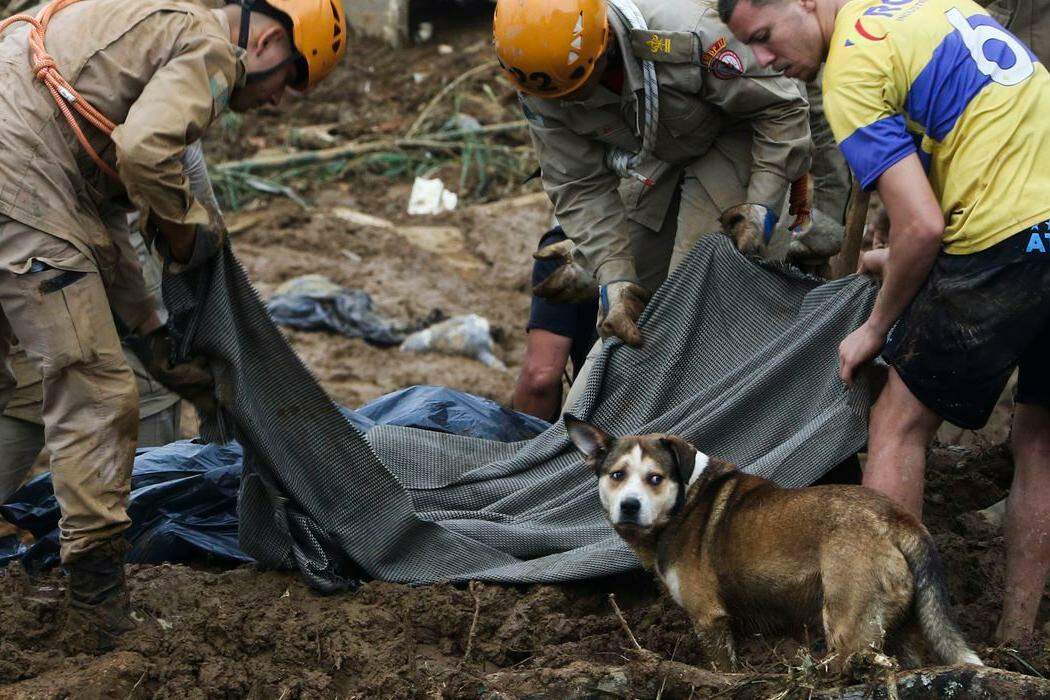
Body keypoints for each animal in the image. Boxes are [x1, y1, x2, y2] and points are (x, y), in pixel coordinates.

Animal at [567, 413, 982, 671]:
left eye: (655, 478)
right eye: (617, 475)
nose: (629, 506)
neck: (684, 499)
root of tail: (897, 519)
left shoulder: (710, 618)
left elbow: (723, 669)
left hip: (848, 623)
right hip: (902, 625)